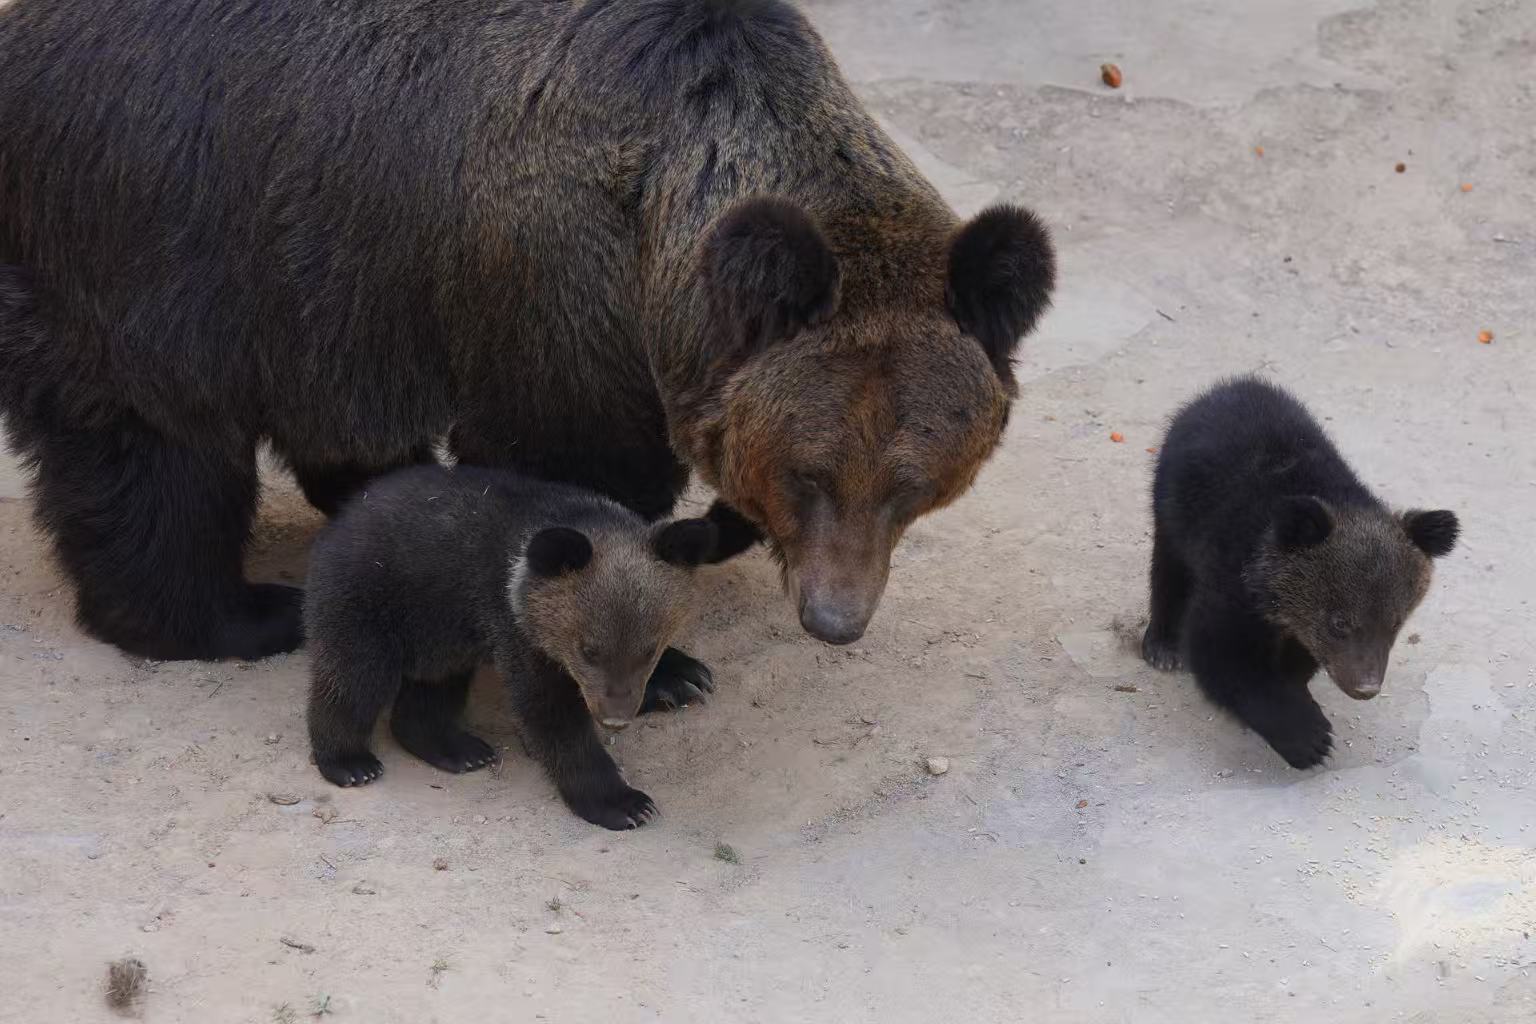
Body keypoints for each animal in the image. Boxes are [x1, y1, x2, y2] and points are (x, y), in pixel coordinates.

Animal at [0, 0, 1055, 664]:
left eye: (914, 483)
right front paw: (663, 667)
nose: (836, 619)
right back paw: (228, 615)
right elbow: (567, 477)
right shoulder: (551, 300)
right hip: (154, 236)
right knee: (152, 448)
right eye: (811, 471)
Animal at [305, 463, 718, 830]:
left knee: (431, 690)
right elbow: (551, 717)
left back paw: (459, 749)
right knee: (354, 679)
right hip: (370, 602)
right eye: (589, 650)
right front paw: (623, 803)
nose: (614, 717)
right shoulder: (519, 635)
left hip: (443, 635)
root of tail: (342, 520)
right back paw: (349, 762)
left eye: (649, 650)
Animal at [1141, 376, 1459, 769]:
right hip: (1172, 506)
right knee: (1168, 569)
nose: (1365, 687)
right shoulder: (1231, 581)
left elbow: (1299, 659)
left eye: (1395, 622)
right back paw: (1162, 646)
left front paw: (1298, 693)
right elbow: (1219, 653)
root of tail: (1224, 388)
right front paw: (1308, 737)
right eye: (1340, 622)